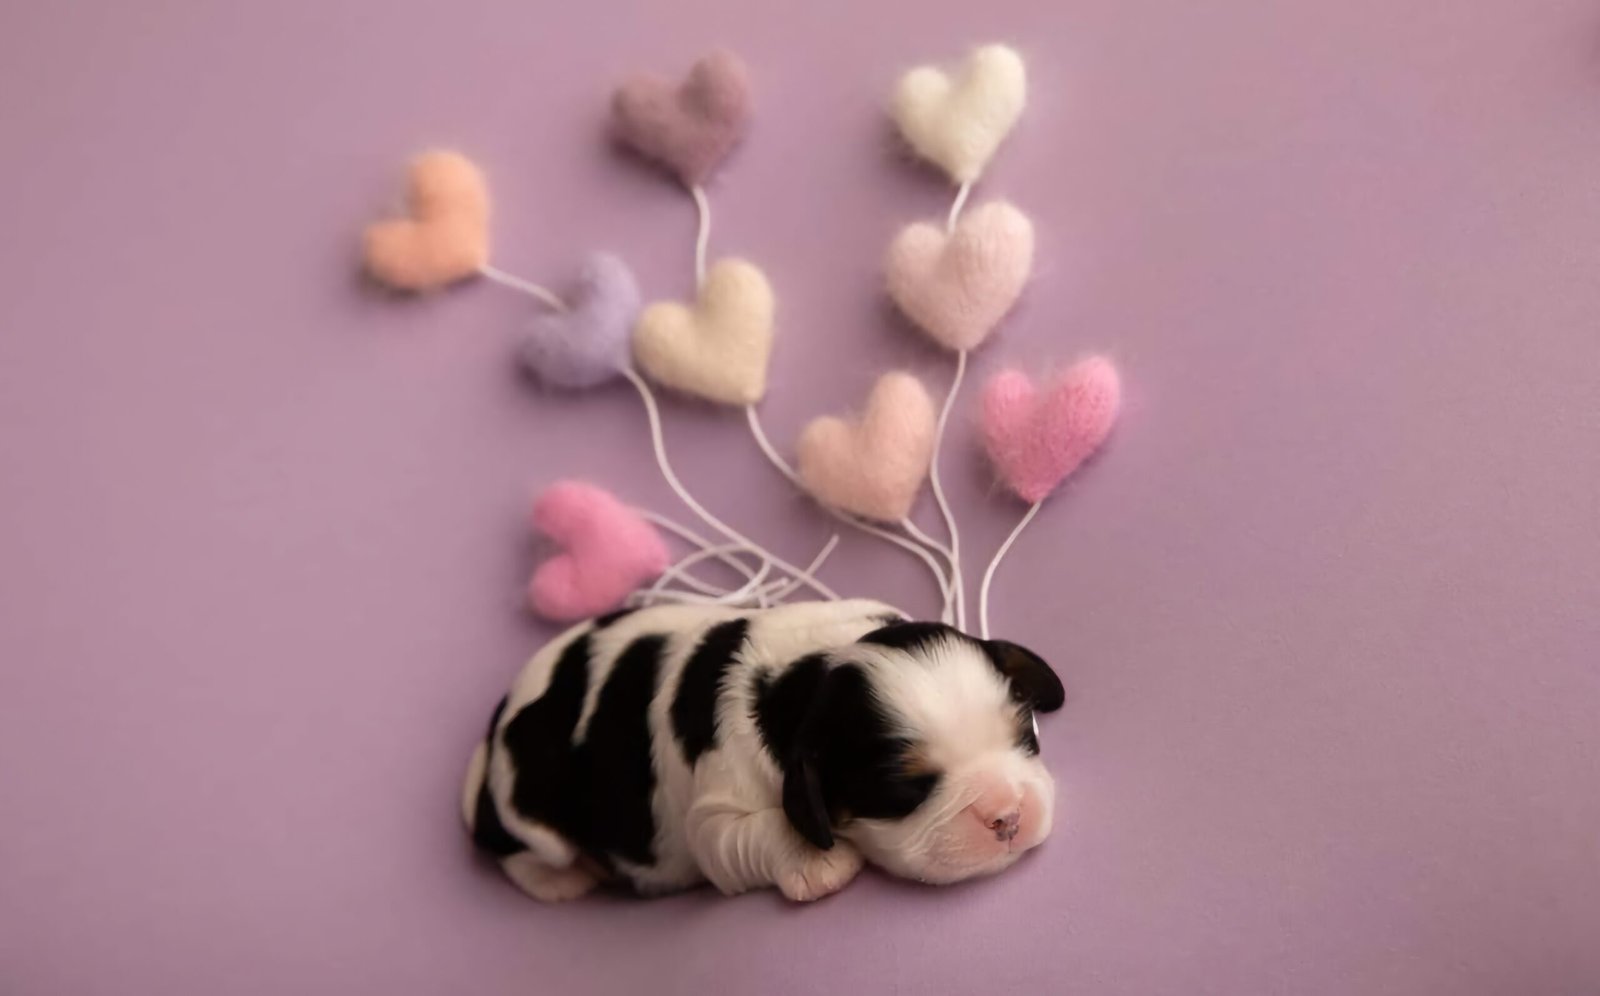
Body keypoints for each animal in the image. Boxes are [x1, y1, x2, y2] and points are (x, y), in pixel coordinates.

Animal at [461, 598, 1063, 902]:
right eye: (904, 790)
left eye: (1024, 732)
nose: (1008, 816)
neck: (807, 676)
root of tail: (495, 723)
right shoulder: (716, 812)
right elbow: (756, 829)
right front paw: (819, 865)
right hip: (529, 810)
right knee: (519, 848)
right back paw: (563, 880)